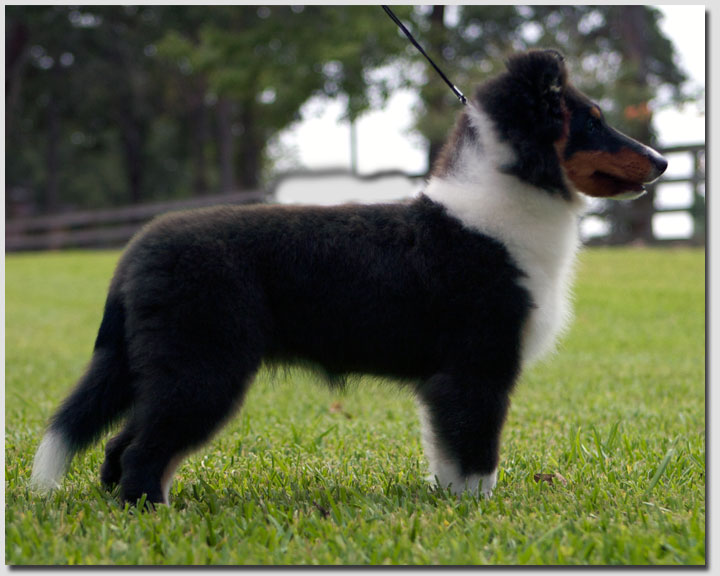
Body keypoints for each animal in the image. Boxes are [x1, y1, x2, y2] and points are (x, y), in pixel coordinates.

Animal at [32, 51, 664, 506]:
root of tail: (134, 253)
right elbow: (475, 451)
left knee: (123, 442)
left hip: (158, 365)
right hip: (203, 364)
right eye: (592, 124)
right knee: (144, 448)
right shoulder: (477, 365)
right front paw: (479, 509)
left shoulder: (452, 376)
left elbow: (448, 450)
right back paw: (153, 512)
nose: (661, 161)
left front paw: (450, 502)